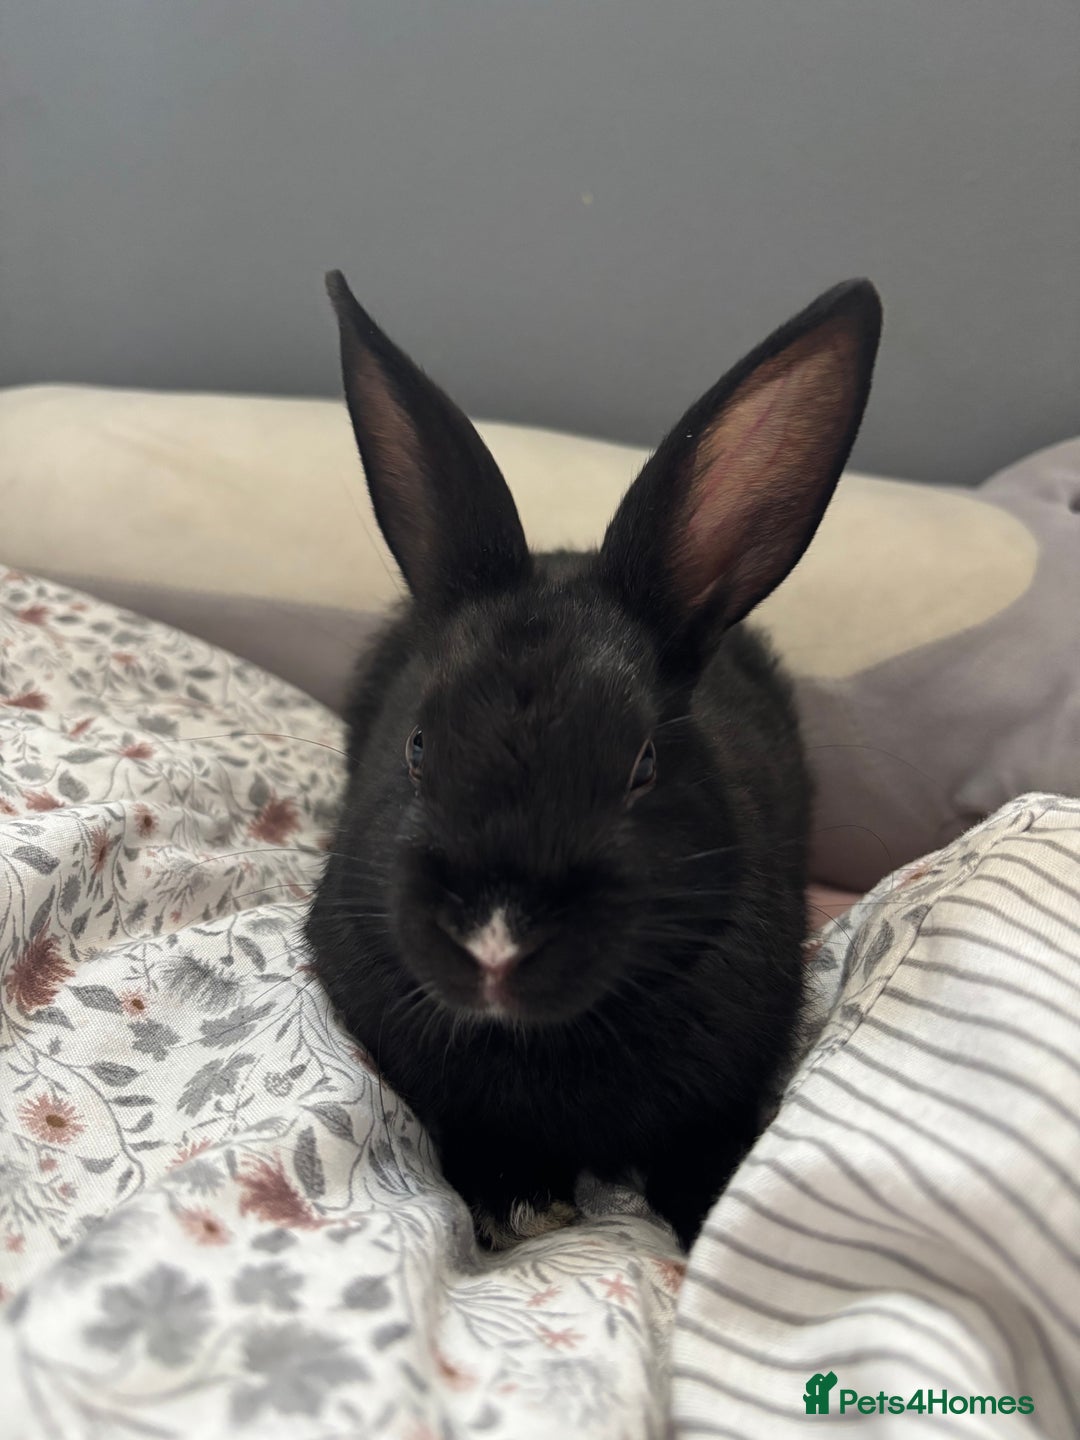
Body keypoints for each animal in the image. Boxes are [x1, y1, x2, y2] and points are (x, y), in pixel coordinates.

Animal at [306, 271, 882, 1250]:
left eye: (642, 764)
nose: (494, 945)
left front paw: (710, 1214)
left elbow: (710, 1151)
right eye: (418, 746)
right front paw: (522, 1205)